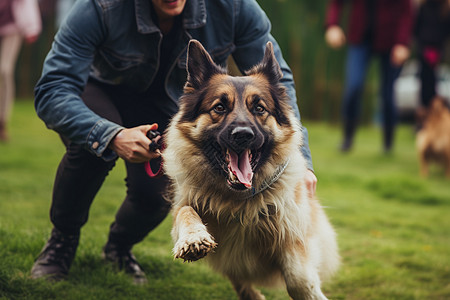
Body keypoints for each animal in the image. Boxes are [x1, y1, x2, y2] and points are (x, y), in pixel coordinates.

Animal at [163, 40, 340, 300]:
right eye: (219, 107)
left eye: (259, 108)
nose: (243, 135)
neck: (237, 201)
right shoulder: (185, 202)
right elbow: (185, 211)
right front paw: (193, 238)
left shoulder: (292, 232)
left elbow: (298, 279)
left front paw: (310, 291)